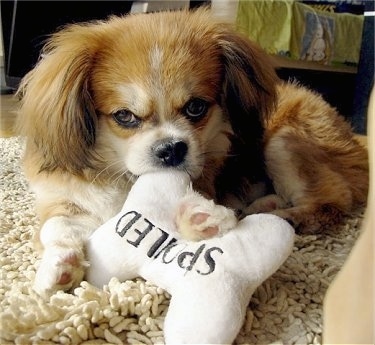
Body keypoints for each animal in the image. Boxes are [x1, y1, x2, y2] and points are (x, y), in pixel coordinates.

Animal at [16, 8, 368, 296]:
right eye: (125, 116)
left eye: (196, 107)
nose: (171, 149)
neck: (125, 178)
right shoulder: (63, 200)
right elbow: (56, 227)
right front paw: (60, 266)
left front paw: (201, 217)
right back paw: (262, 205)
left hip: (284, 142)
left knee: (332, 201)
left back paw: (284, 216)